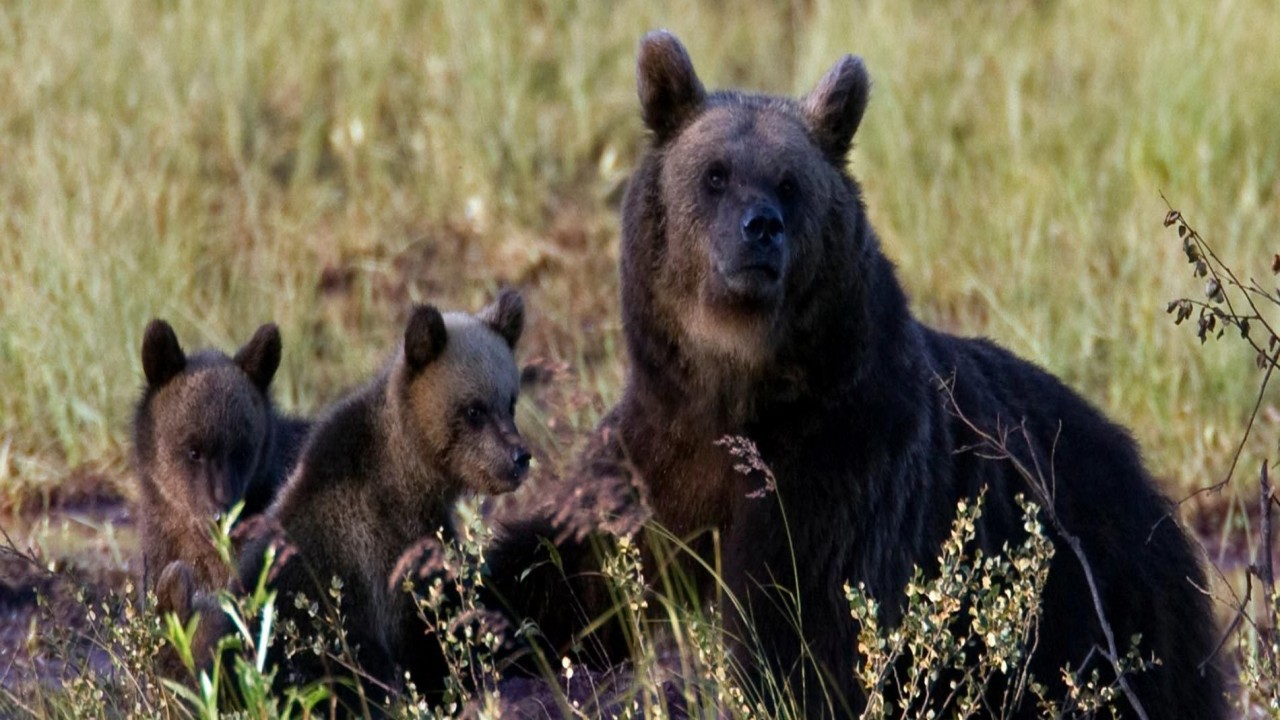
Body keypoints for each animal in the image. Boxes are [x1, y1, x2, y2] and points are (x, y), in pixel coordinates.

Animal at [487, 31, 1225, 719]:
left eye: (789, 182)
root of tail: (1151, 489)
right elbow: (572, 564)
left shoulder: (843, 461)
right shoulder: (659, 449)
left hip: (1103, 604)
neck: (737, 390)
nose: (762, 228)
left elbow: (808, 617)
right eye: (715, 175)